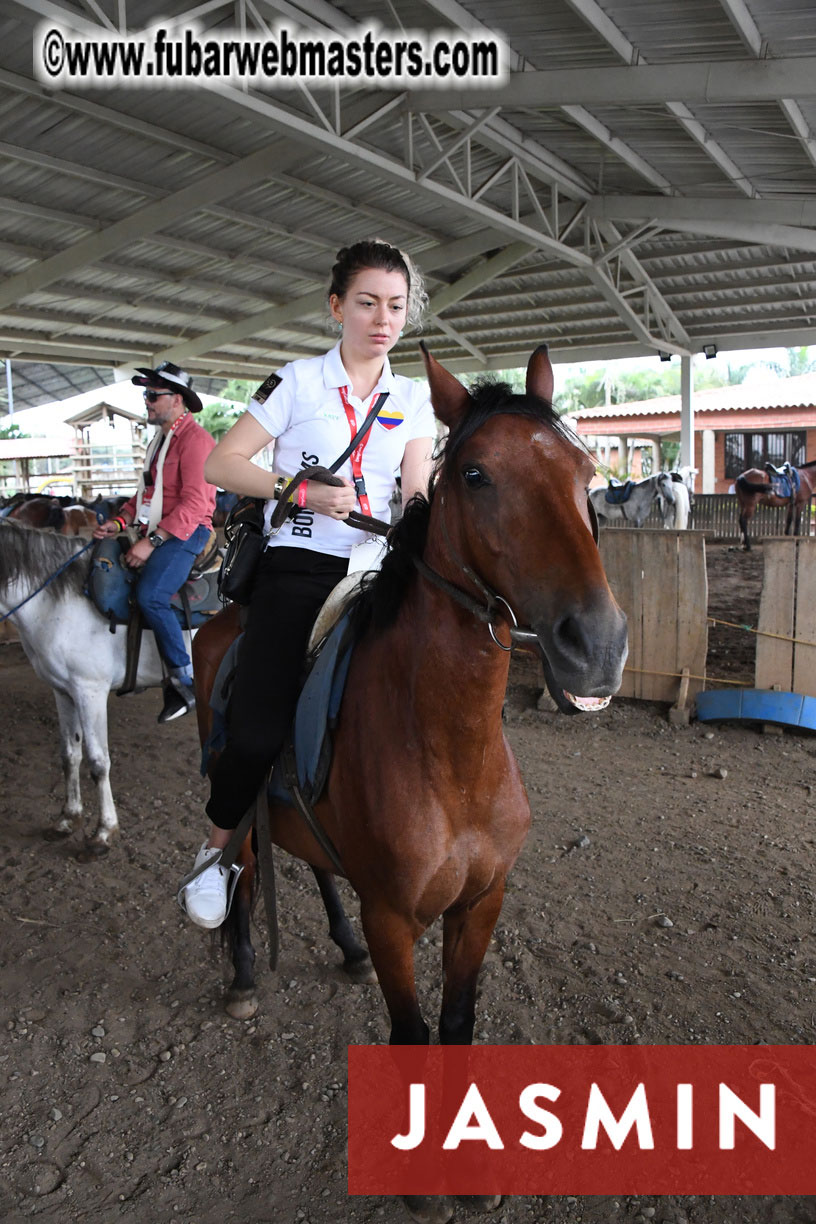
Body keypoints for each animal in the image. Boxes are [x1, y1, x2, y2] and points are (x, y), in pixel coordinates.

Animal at [0, 521, 195, 856]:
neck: (57, 601)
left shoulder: (90, 692)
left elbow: (98, 761)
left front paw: (103, 833)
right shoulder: (63, 691)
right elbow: (70, 755)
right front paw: (68, 819)